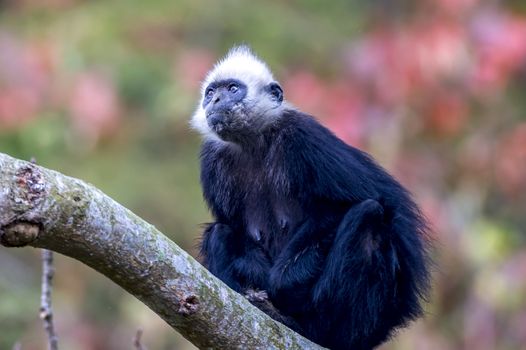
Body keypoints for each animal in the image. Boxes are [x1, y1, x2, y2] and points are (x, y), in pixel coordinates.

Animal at [192, 46, 432, 350]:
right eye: (211, 92)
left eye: (233, 89)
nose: (215, 100)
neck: (254, 145)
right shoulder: (213, 160)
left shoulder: (302, 136)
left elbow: (367, 201)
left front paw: (283, 283)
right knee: (219, 233)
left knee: (369, 215)